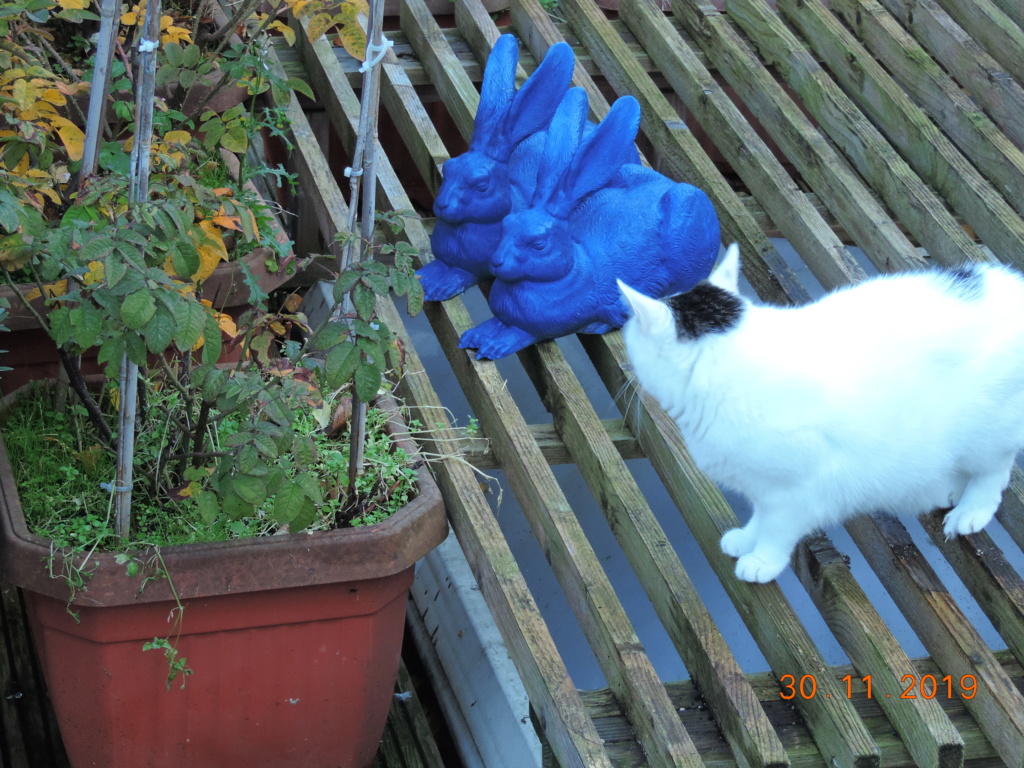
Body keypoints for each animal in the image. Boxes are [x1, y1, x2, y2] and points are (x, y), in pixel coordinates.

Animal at [618, 246, 1024, 581]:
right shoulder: (763, 486)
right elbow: (760, 514)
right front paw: (746, 539)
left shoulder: (795, 490)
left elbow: (777, 529)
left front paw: (762, 561)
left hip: (986, 433)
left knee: (994, 472)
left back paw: (970, 511)